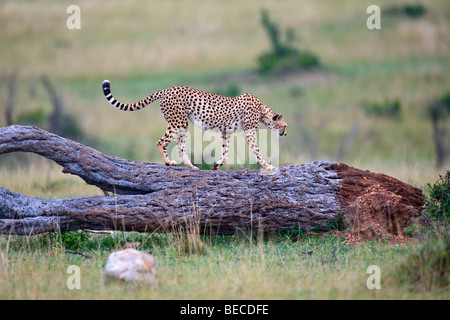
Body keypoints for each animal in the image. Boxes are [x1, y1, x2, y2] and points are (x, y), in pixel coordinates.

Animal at [102, 80, 286, 170]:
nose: (285, 134)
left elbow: (226, 151)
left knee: (179, 146)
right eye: (284, 126)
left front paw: (217, 165)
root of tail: (167, 89)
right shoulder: (248, 132)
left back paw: (191, 166)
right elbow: (257, 150)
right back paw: (169, 162)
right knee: (162, 142)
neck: (262, 110)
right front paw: (267, 165)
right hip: (178, 122)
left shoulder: (225, 132)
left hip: (181, 124)